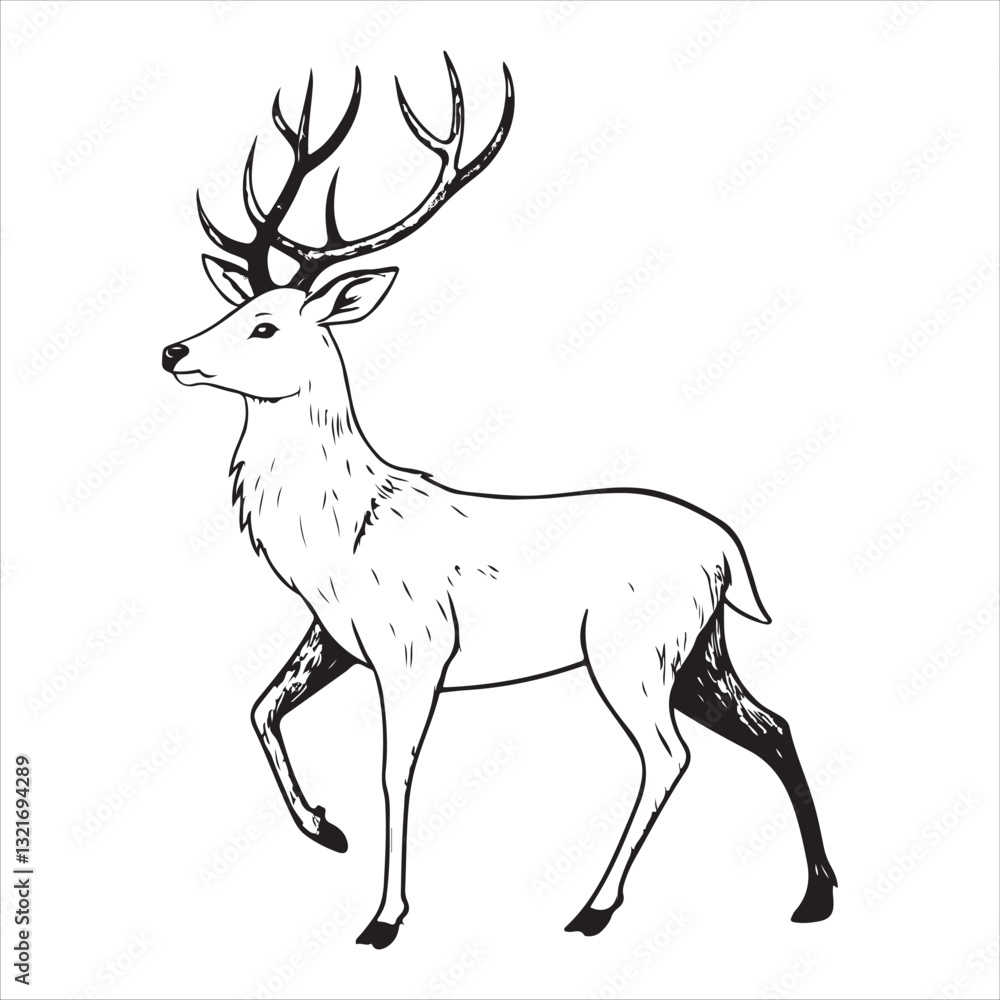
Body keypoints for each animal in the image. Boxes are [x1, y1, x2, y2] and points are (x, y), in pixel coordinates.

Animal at [162, 54, 837, 949]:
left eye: (266, 326)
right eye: (235, 305)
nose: (172, 351)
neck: (334, 537)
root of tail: (729, 551)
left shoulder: (415, 647)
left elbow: (395, 772)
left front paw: (385, 918)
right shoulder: (335, 638)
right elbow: (261, 707)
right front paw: (324, 828)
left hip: (635, 646)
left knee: (669, 757)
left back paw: (593, 907)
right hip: (701, 649)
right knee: (772, 727)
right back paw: (814, 896)